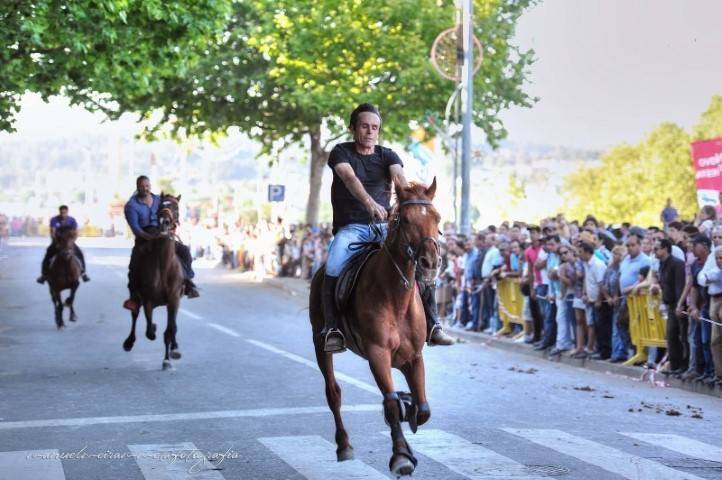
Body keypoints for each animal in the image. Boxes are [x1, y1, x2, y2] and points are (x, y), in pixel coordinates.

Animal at [121, 193, 184, 370]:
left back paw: (175, 347)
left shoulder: (174, 299)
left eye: (176, 207)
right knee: (134, 315)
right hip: (135, 295)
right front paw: (154, 329)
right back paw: (129, 342)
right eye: (160, 206)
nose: (164, 222)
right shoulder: (148, 300)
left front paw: (168, 359)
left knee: (172, 325)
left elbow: (170, 329)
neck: (163, 267)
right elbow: (150, 331)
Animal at [308, 179, 438, 476]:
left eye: (437, 218)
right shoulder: (378, 354)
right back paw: (343, 445)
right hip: (320, 344)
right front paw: (401, 456)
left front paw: (410, 409)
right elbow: (390, 404)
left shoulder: (414, 357)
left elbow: (423, 407)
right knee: (333, 393)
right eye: (406, 220)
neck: (395, 296)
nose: (430, 263)